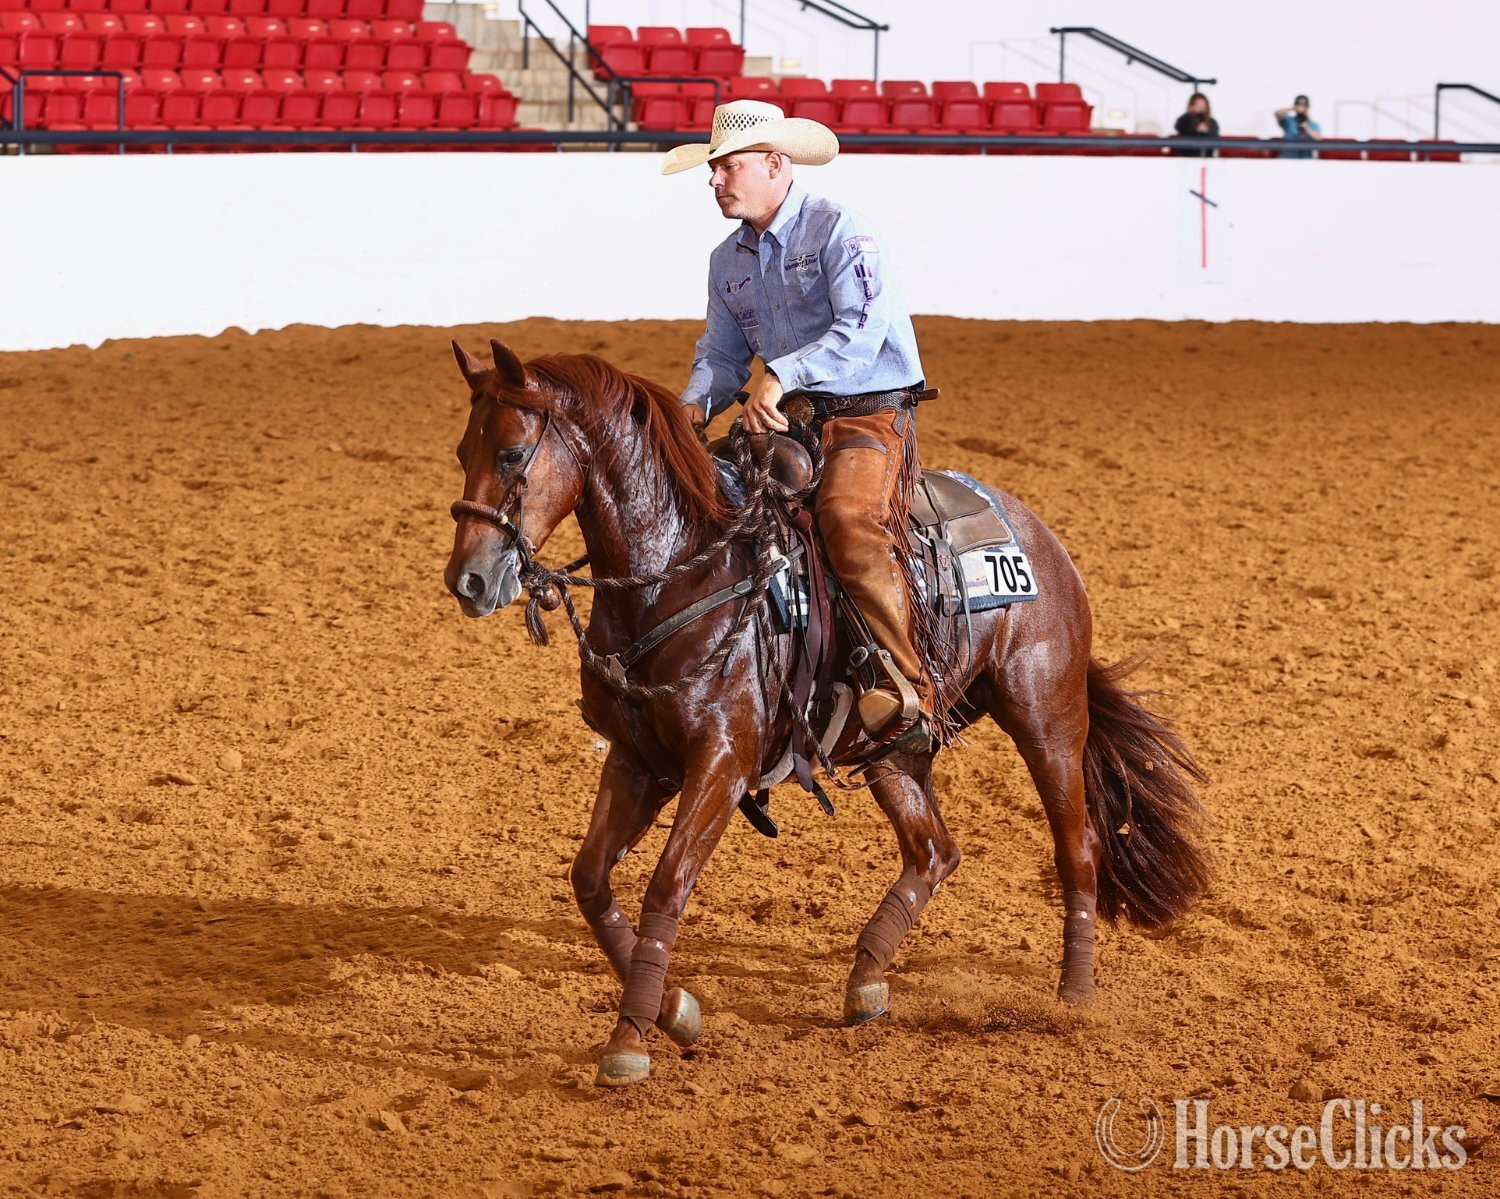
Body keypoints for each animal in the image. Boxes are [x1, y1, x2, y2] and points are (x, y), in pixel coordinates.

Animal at [443, 338, 1209, 1088]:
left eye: (511, 453)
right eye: (461, 450)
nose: (467, 581)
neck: (681, 573)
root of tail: (1041, 537)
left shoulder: (721, 762)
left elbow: (666, 884)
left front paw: (630, 1038)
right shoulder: (638, 761)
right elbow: (591, 880)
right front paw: (676, 1009)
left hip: (1046, 715)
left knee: (1077, 846)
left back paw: (1073, 998)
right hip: (896, 749)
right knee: (934, 850)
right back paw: (866, 978)